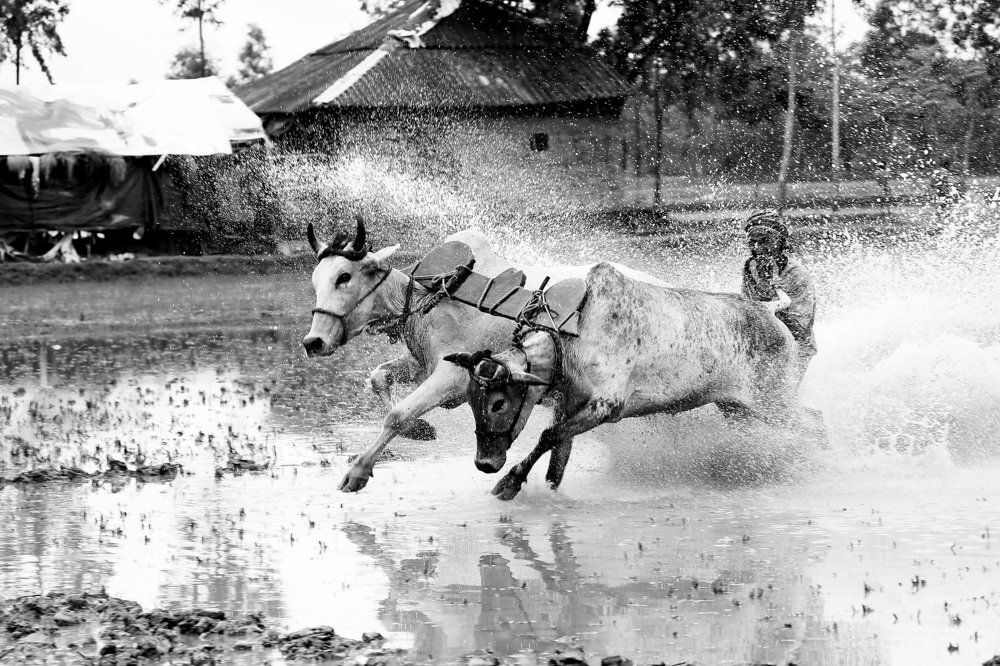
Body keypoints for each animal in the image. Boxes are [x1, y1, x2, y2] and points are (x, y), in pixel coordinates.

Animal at [301, 219, 667, 493]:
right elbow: (379, 377)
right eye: (316, 281)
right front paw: (420, 429)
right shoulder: (425, 365)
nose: (313, 342)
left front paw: (358, 472)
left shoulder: (452, 376)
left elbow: (398, 414)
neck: (426, 295)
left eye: (344, 277)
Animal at [445, 261, 806, 501]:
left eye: (499, 402)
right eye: (472, 401)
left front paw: (509, 483)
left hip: (775, 404)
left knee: (809, 430)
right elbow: (557, 460)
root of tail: (770, 311)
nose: (485, 463)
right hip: (735, 409)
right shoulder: (570, 405)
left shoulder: (607, 406)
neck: (572, 337)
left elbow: (547, 437)